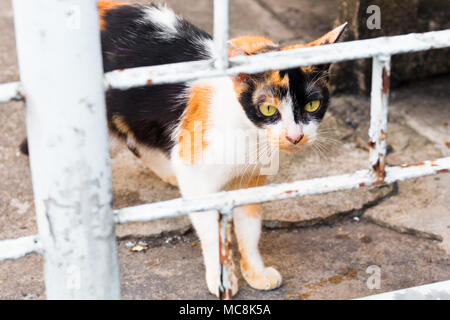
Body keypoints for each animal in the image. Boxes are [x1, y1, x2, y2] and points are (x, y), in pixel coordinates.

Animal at [21, 1, 348, 298]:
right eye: (268, 108)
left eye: (313, 105)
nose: (295, 137)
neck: (248, 134)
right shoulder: (198, 177)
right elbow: (211, 230)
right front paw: (222, 279)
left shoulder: (251, 180)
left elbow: (250, 229)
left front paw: (255, 271)